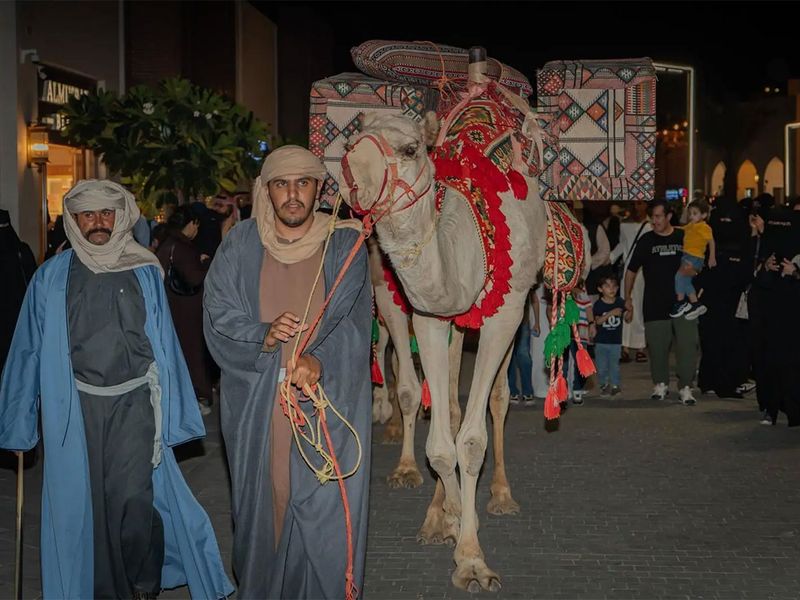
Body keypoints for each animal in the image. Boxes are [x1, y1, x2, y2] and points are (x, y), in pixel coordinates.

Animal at [340, 104, 548, 592]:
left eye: (410, 148)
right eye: (351, 142)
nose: (349, 174)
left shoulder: (501, 315)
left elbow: (472, 440)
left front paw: (472, 560)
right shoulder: (429, 317)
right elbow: (438, 437)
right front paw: (446, 518)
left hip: (520, 302)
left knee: (497, 397)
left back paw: (501, 495)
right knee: (448, 404)